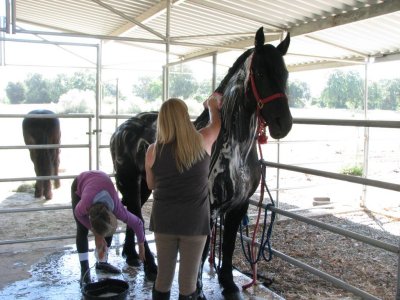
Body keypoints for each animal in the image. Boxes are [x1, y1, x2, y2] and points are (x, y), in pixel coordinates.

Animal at [111, 27, 292, 298]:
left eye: (285, 74)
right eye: (260, 73)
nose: (283, 124)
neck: (234, 149)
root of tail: (122, 129)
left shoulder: (239, 207)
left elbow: (228, 246)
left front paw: (228, 284)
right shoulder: (208, 209)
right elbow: (203, 252)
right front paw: (198, 290)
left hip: (143, 187)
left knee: (131, 212)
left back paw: (132, 256)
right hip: (129, 183)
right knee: (137, 215)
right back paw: (151, 266)